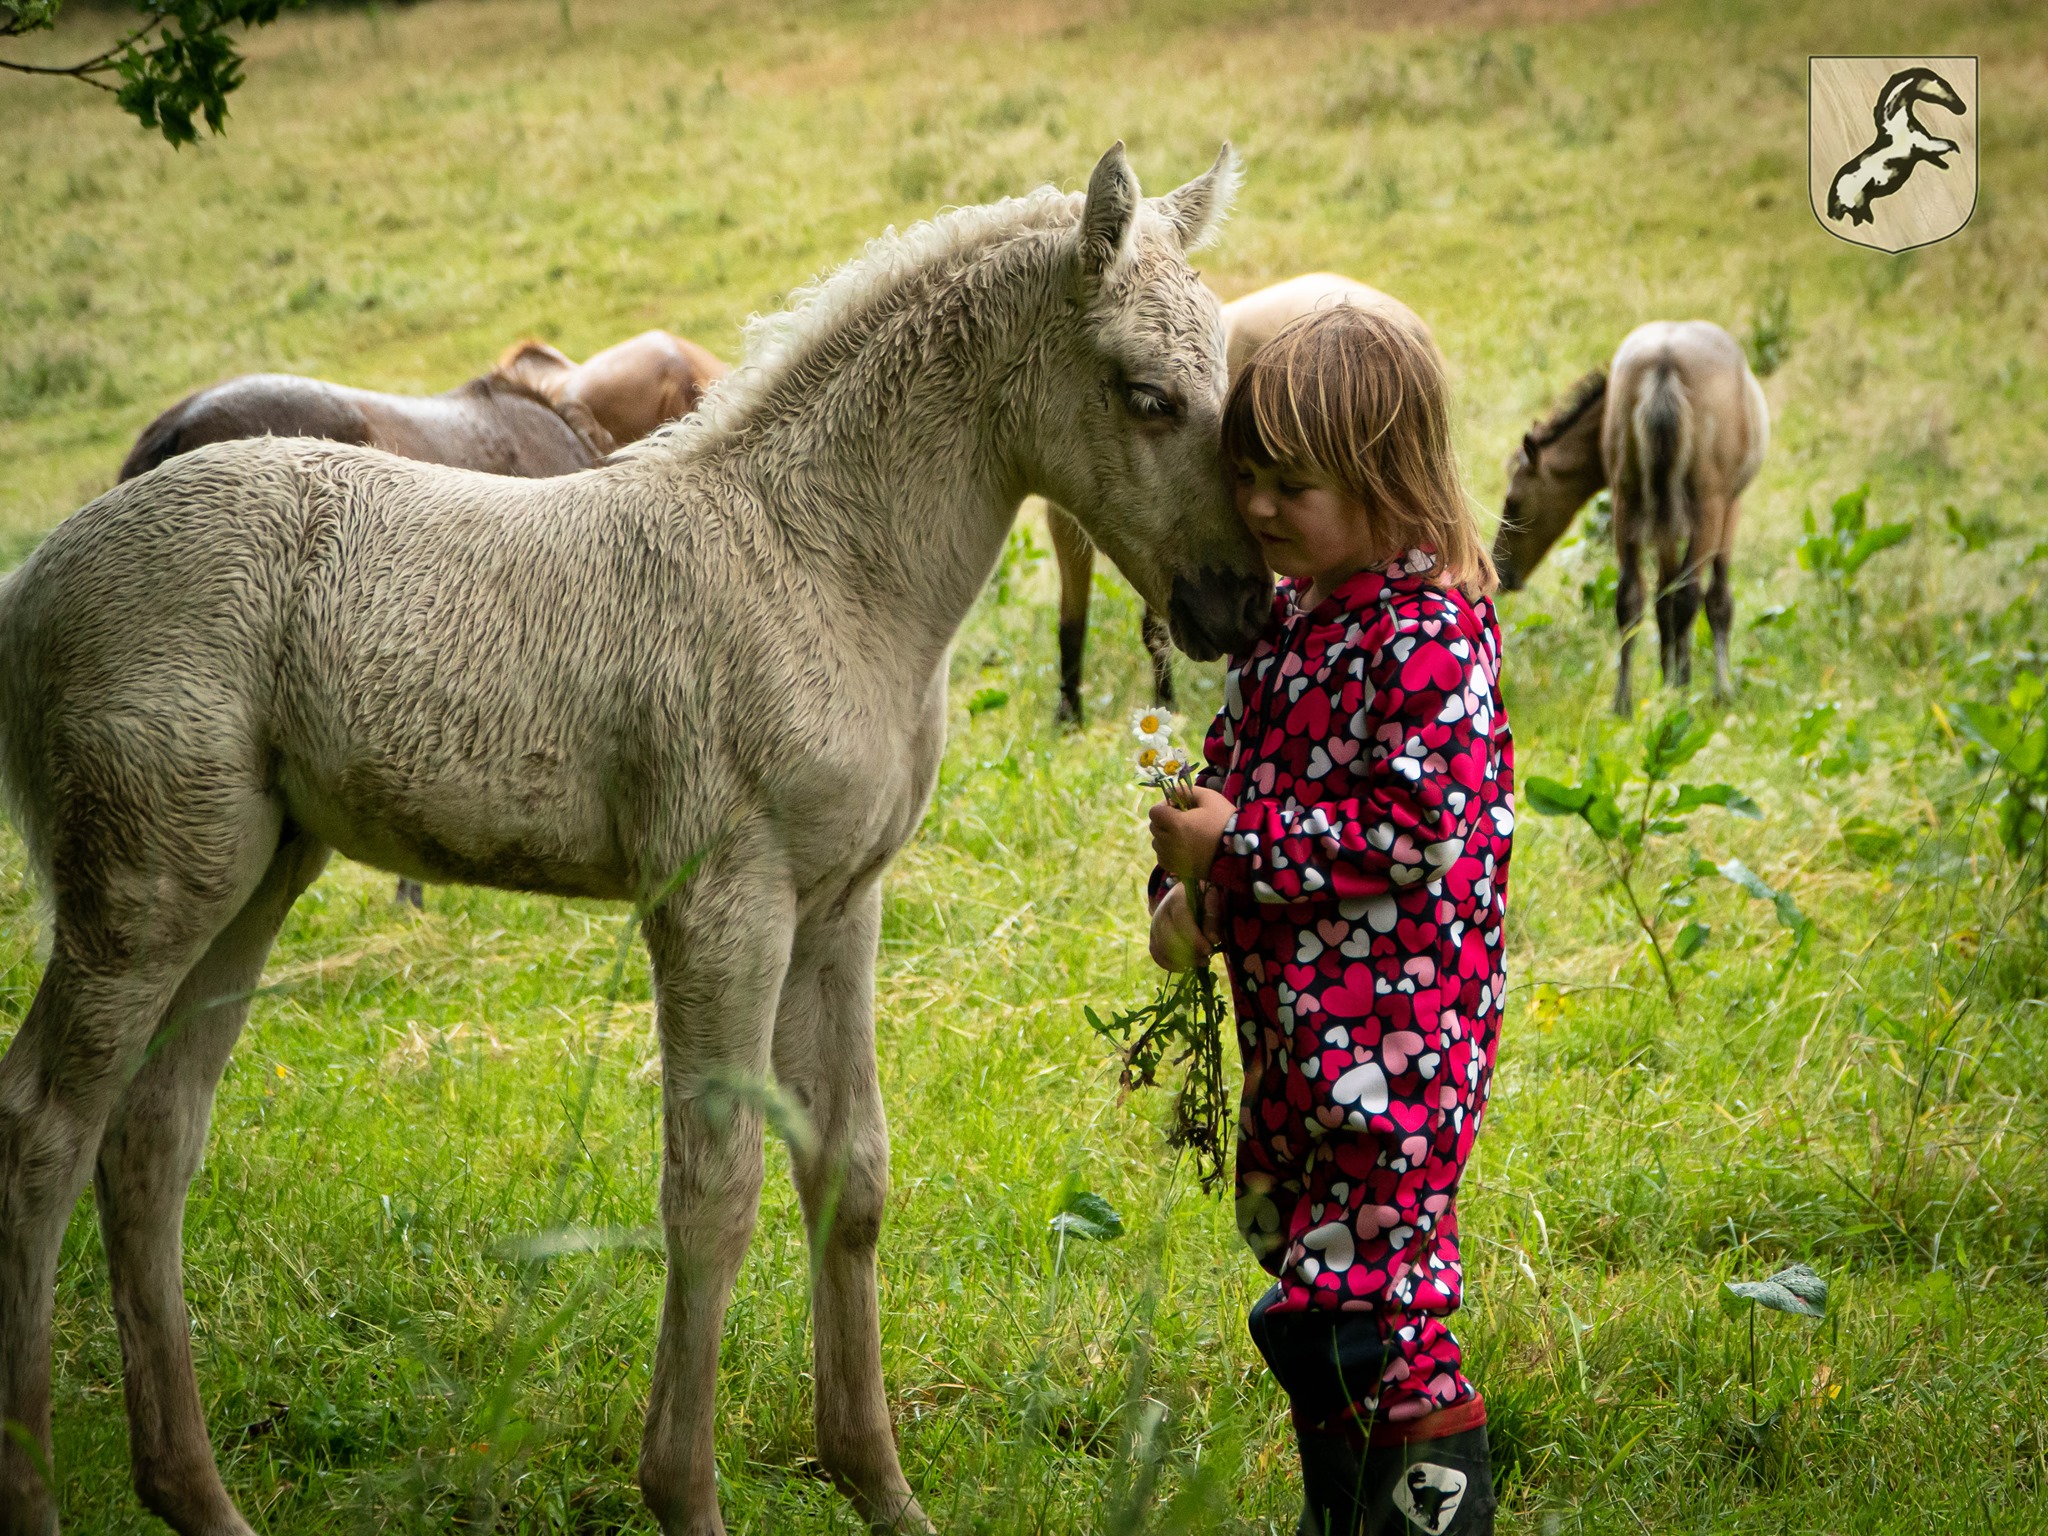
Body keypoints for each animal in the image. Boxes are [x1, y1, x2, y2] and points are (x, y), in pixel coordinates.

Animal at [0, 144, 1261, 1536]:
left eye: (1230, 386)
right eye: (1145, 395)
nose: (1240, 601)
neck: (814, 561)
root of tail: (37, 577)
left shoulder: (839, 905)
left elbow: (852, 1175)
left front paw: (879, 1486)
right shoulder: (720, 904)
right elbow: (712, 1195)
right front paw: (683, 1492)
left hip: (253, 876)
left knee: (152, 1138)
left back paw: (197, 1494)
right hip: (146, 888)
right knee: (43, 1130)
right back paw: (37, 1489)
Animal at [1499, 321, 1769, 720]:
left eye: (1513, 503)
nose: (1501, 572)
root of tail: (1664, 362)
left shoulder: (1663, 525)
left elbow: (1661, 599)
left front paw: (1666, 680)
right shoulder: (1727, 508)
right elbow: (1716, 600)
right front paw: (1717, 690)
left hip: (1628, 506)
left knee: (1630, 598)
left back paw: (1624, 702)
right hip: (1707, 508)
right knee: (1689, 594)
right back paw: (1684, 696)